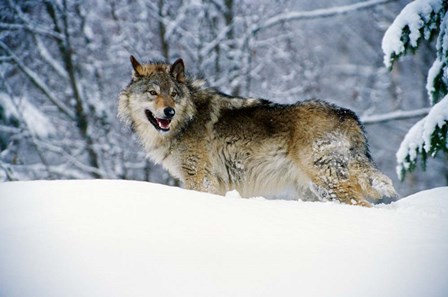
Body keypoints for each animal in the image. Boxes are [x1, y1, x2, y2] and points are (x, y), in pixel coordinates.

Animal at [117, 56, 398, 207]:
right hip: (314, 191)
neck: (186, 120)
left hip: (327, 184)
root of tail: (348, 115)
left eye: (173, 94)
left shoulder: (200, 179)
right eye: (153, 93)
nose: (169, 112)